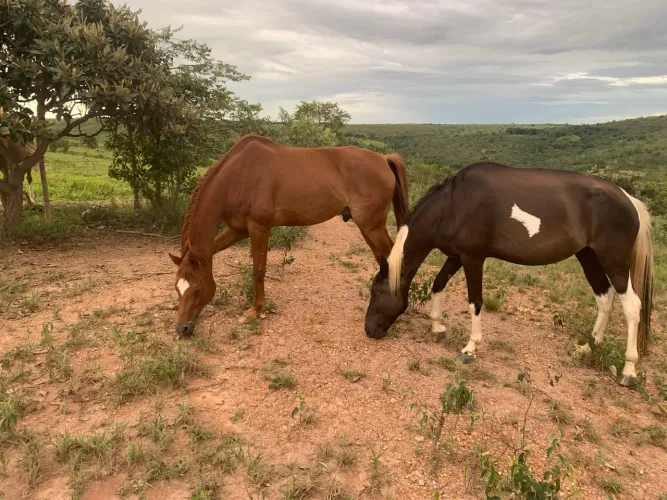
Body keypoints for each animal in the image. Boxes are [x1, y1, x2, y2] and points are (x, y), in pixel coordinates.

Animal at [169, 134, 409, 336]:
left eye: (197, 289)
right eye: (177, 288)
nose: (182, 328)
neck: (240, 175)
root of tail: (383, 159)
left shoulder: (259, 227)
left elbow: (258, 270)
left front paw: (255, 310)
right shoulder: (238, 230)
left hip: (372, 226)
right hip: (367, 227)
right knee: (384, 259)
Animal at [364, 161, 653, 387]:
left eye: (376, 292)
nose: (369, 331)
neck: (455, 204)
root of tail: (630, 200)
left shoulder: (473, 259)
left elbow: (475, 302)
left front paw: (470, 348)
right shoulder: (456, 256)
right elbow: (438, 284)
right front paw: (437, 327)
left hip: (614, 263)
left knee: (631, 307)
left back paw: (629, 371)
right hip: (588, 256)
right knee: (604, 298)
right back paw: (587, 348)